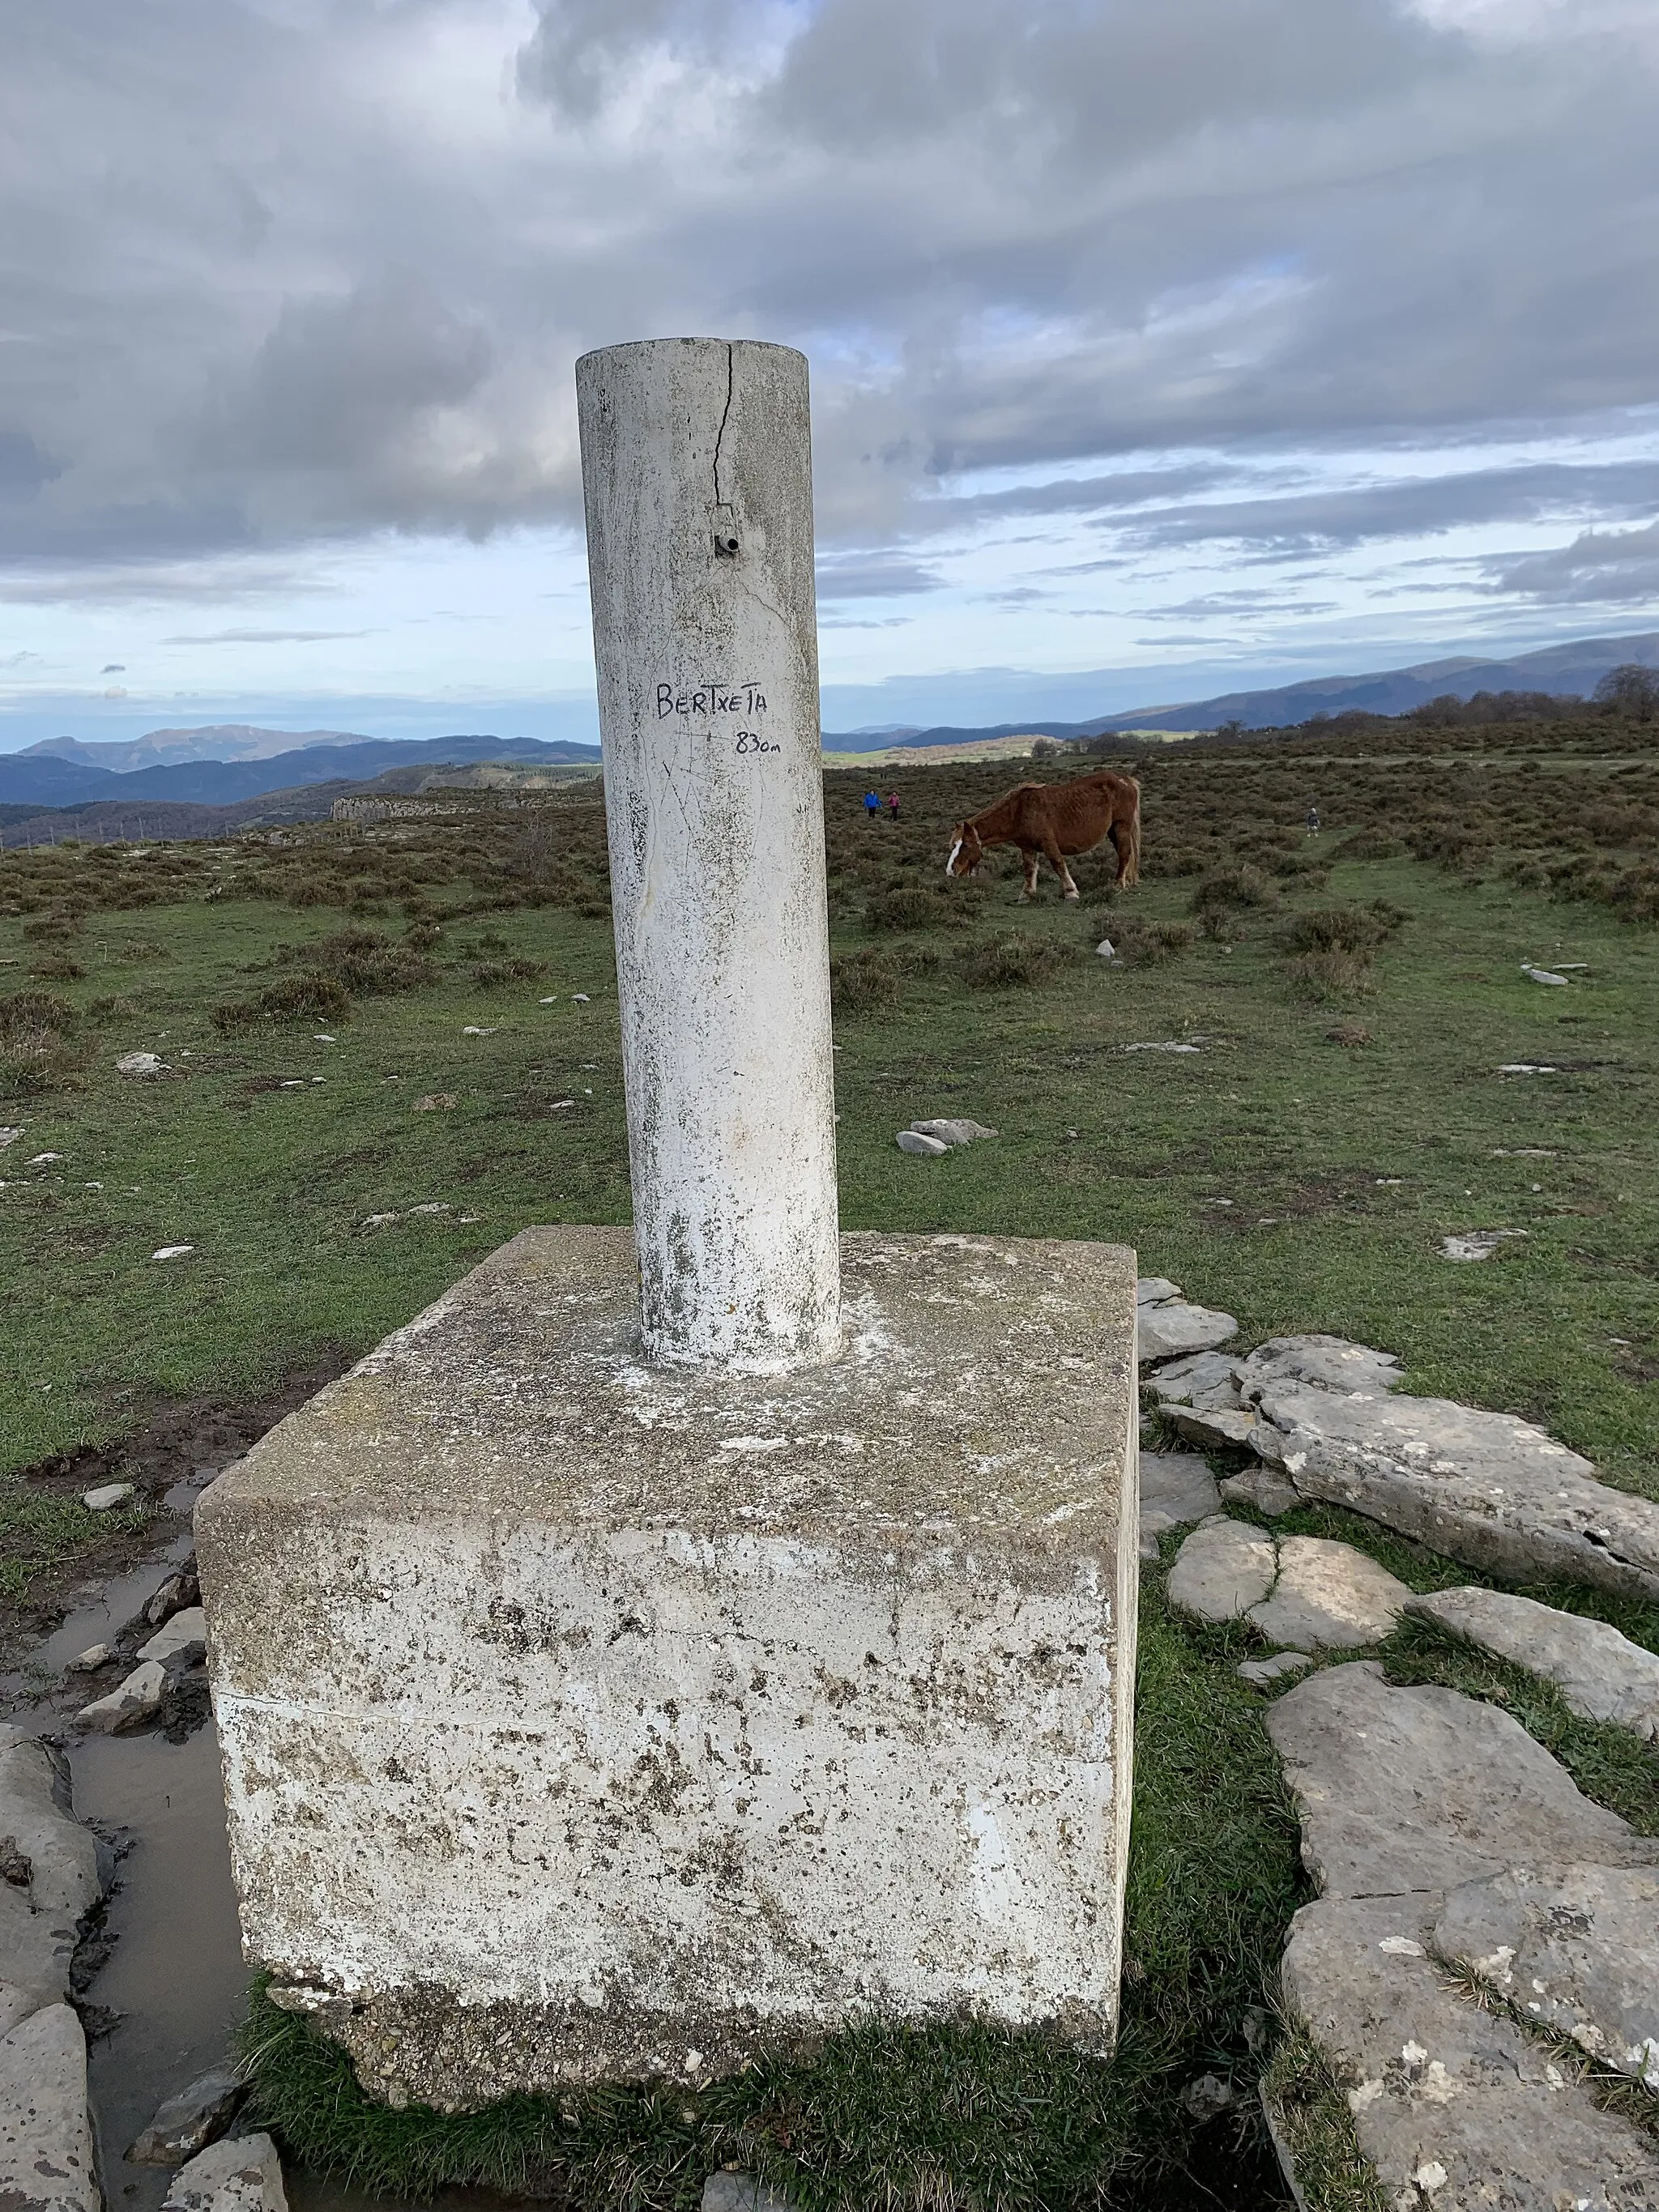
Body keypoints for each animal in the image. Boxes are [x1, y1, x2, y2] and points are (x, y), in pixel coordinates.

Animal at [946, 765, 1141, 893]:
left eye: (965, 845)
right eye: (953, 845)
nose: (951, 871)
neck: (1018, 812)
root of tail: (1126, 780)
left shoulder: (1048, 842)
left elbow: (1058, 863)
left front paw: (1071, 892)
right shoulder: (1027, 847)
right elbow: (1029, 868)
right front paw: (1027, 894)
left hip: (1121, 826)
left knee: (1124, 853)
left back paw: (1118, 885)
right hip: (1112, 830)